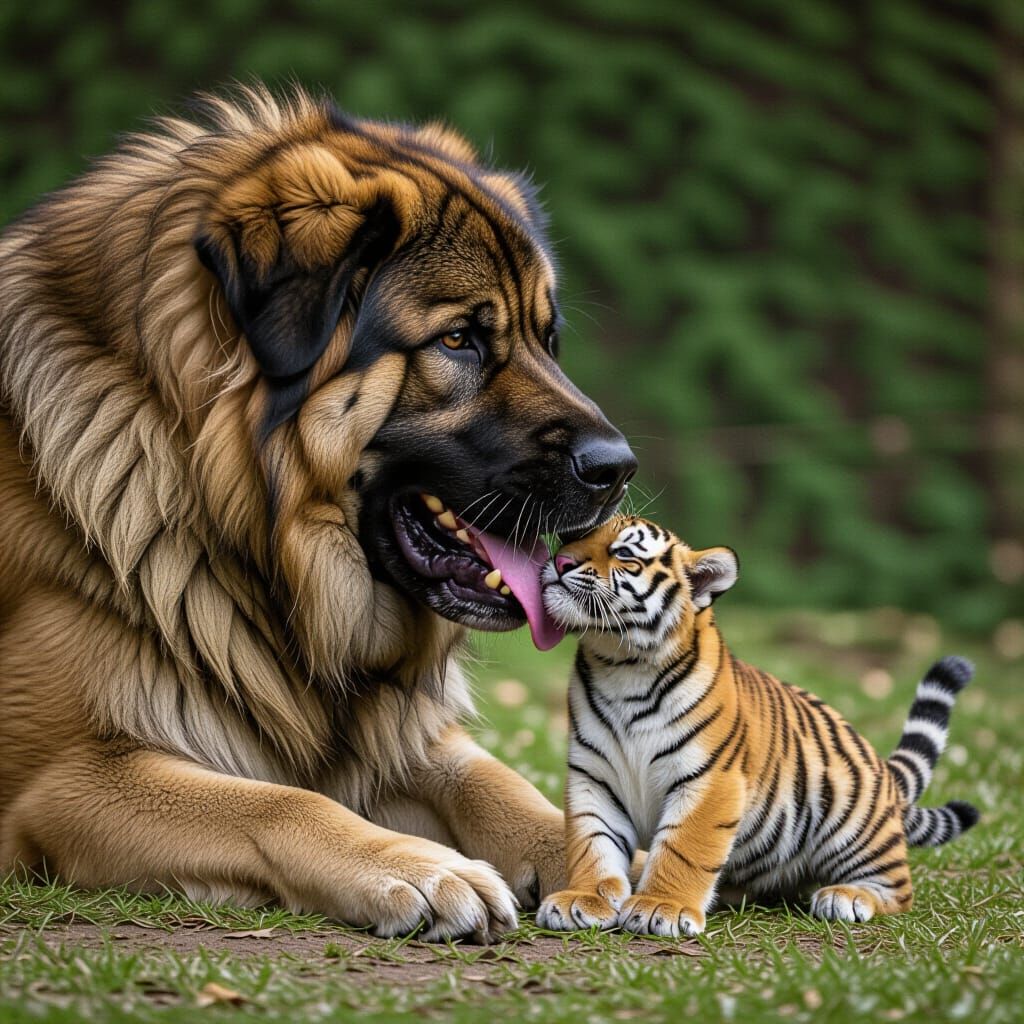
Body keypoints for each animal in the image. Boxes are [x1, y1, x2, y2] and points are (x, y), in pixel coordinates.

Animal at [536, 516, 979, 936]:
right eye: (571, 539)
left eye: (624, 553)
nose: (561, 561)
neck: (620, 663)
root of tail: (887, 776)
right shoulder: (593, 776)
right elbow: (593, 841)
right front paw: (583, 900)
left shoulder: (710, 778)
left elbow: (683, 847)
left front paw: (662, 906)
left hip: (849, 819)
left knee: (899, 889)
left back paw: (847, 898)